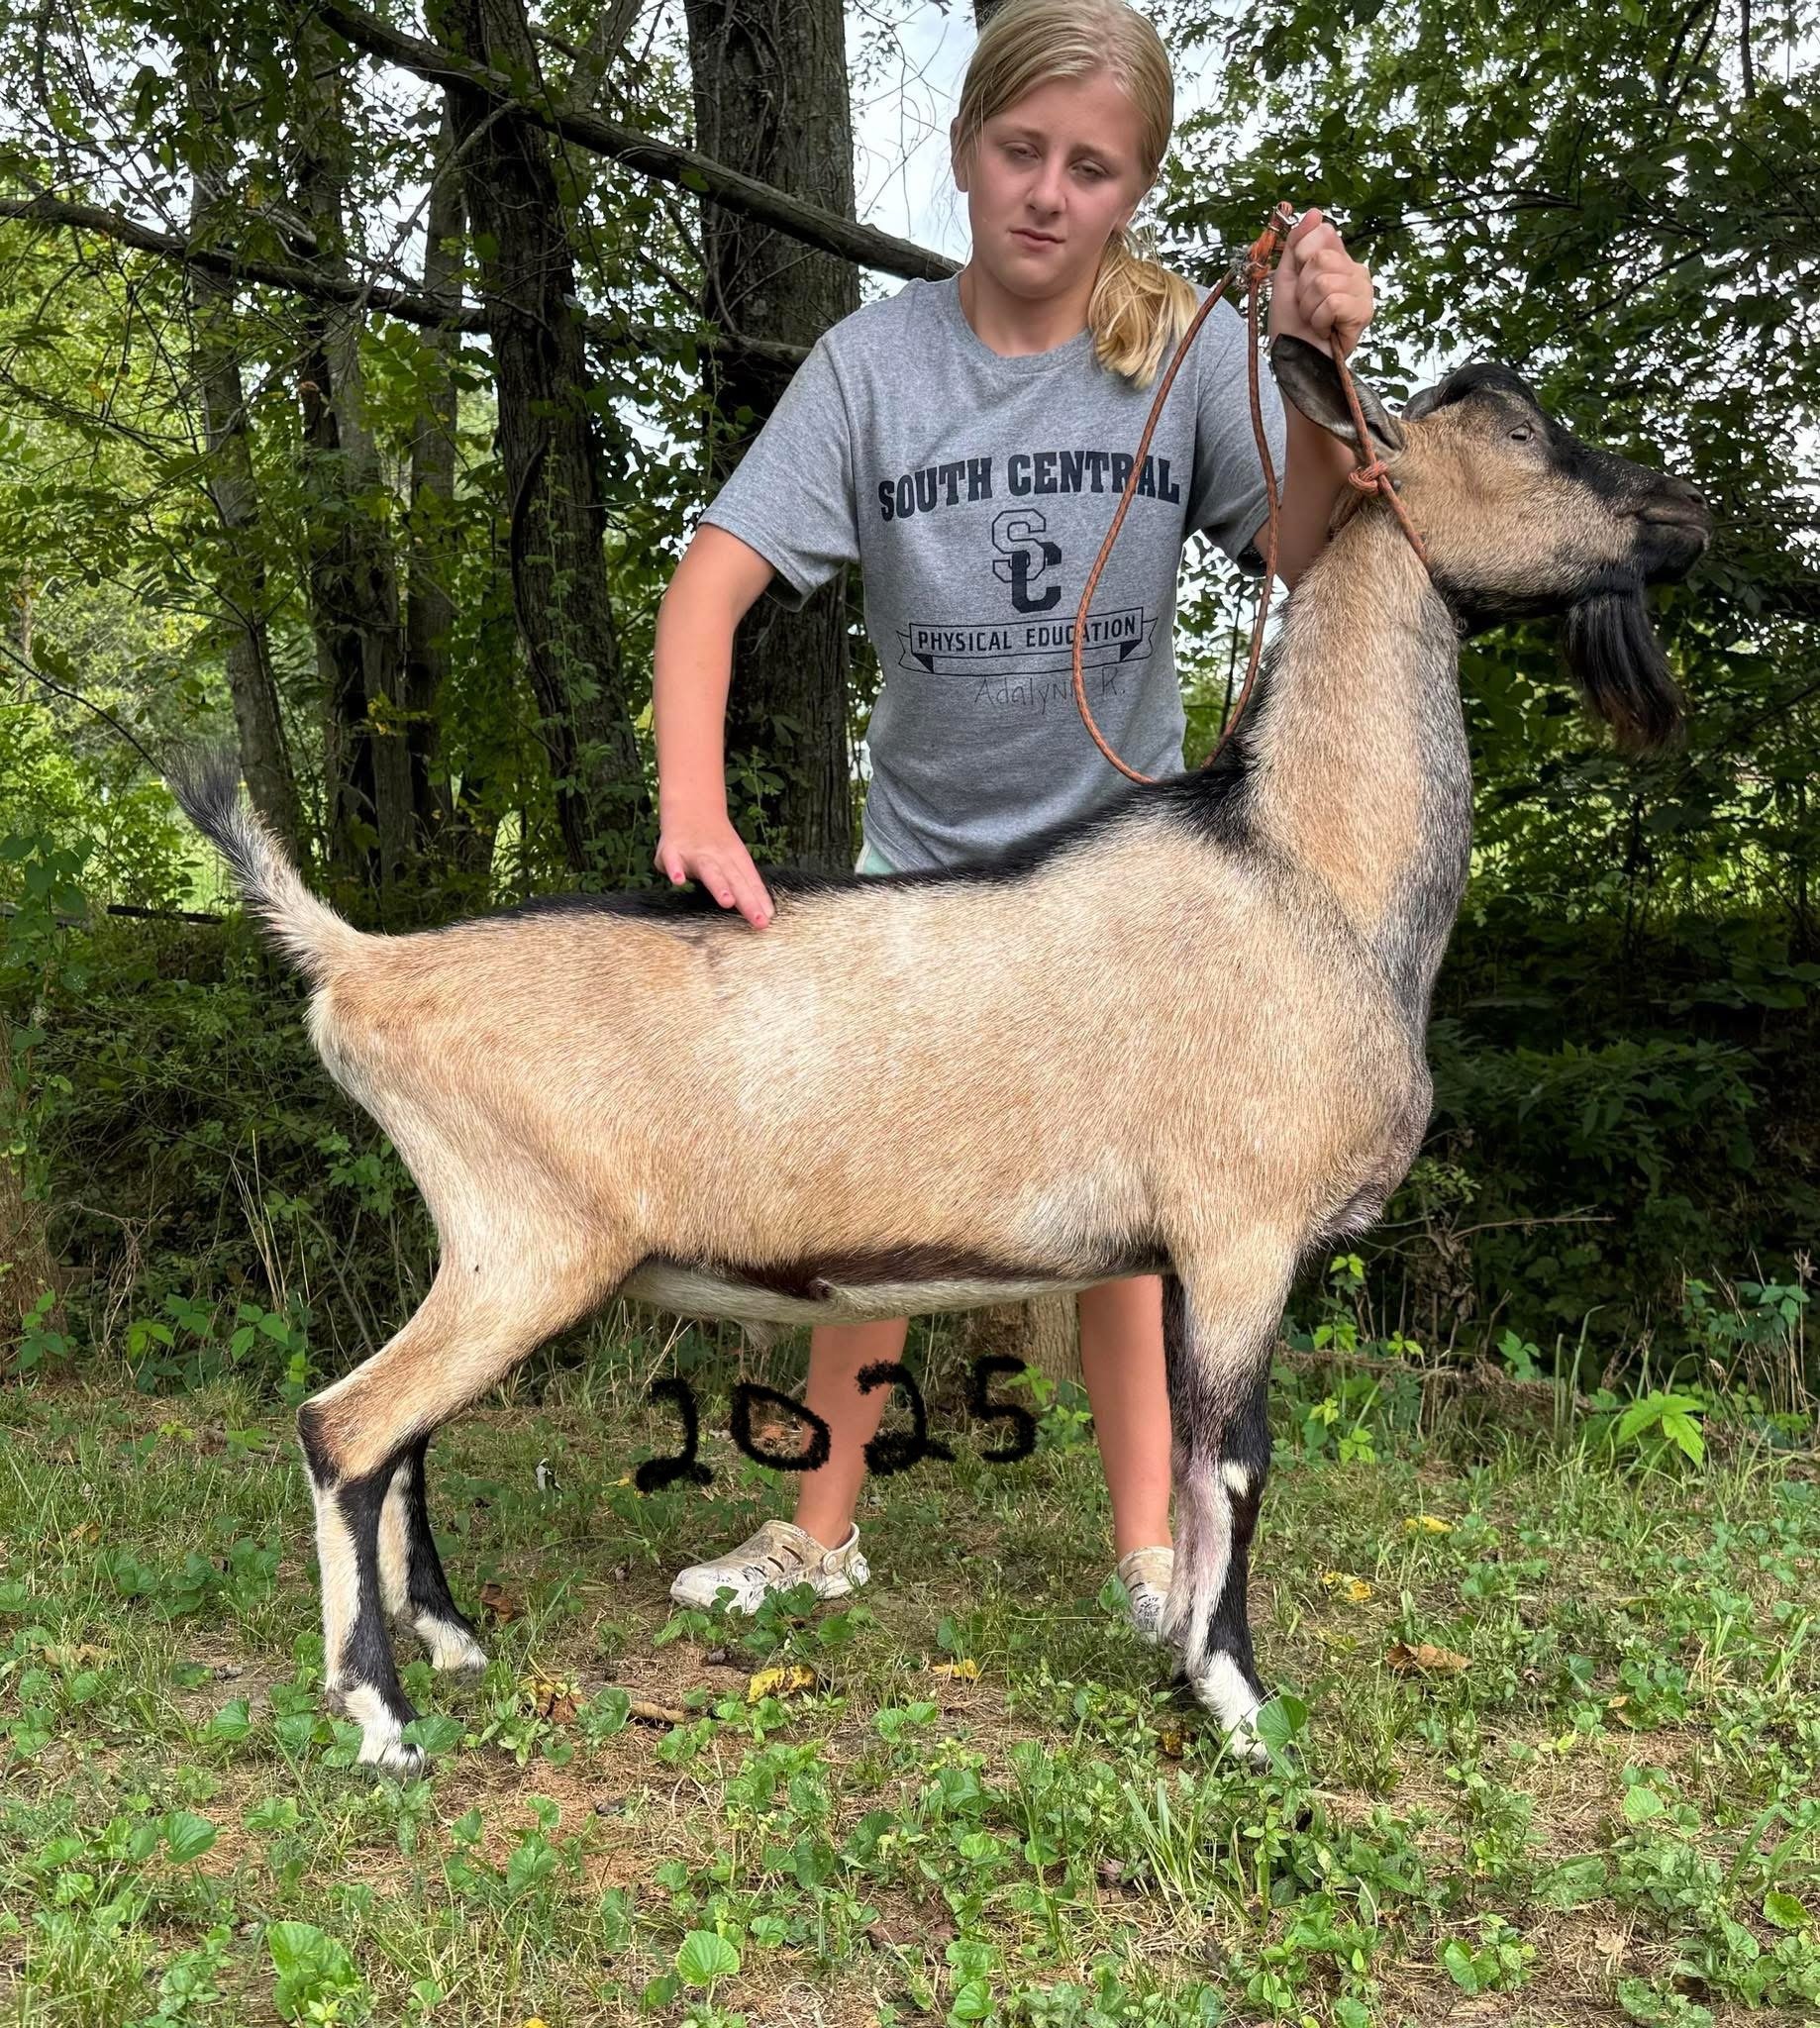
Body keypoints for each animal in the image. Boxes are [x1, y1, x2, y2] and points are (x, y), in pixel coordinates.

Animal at [169, 334, 1711, 1776]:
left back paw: (451, 1637)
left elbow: (1187, 1457)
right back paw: (381, 1716)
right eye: (1520, 433)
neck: (1302, 872)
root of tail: (362, 963)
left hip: (489, 1244)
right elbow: (1236, 1465)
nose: (1688, 511)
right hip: (527, 1238)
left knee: (402, 1437)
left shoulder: (1179, 1250)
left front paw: (1180, 1660)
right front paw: (1238, 1707)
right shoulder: (1241, 1232)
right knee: (346, 1428)